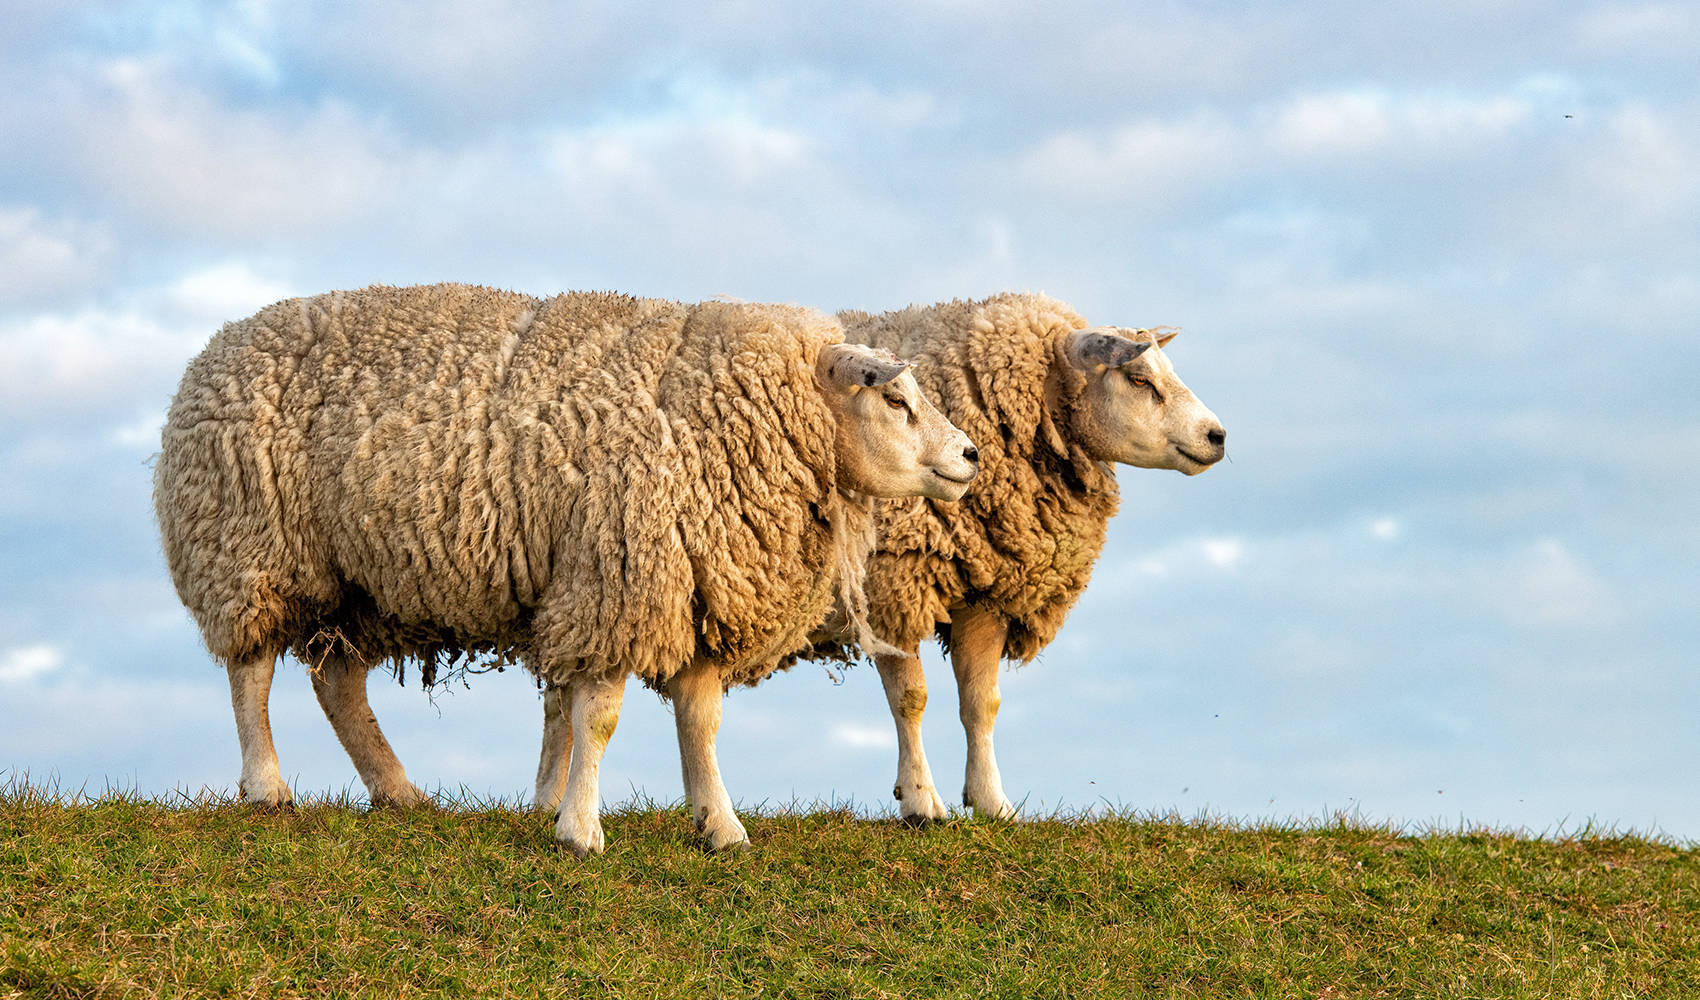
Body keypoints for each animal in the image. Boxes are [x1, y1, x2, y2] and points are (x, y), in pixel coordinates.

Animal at [159, 280, 986, 850]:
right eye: (896, 400)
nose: (971, 455)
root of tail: (212, 351)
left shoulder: (685, 588)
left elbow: (701, 719)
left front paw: (718, 825)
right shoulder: (613, 579)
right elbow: (602, 718)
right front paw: (580, 830)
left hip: (363, 586)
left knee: (336, 685)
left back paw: (398, 791)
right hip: (249, 551)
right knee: (251, 674)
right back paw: (266, 786)